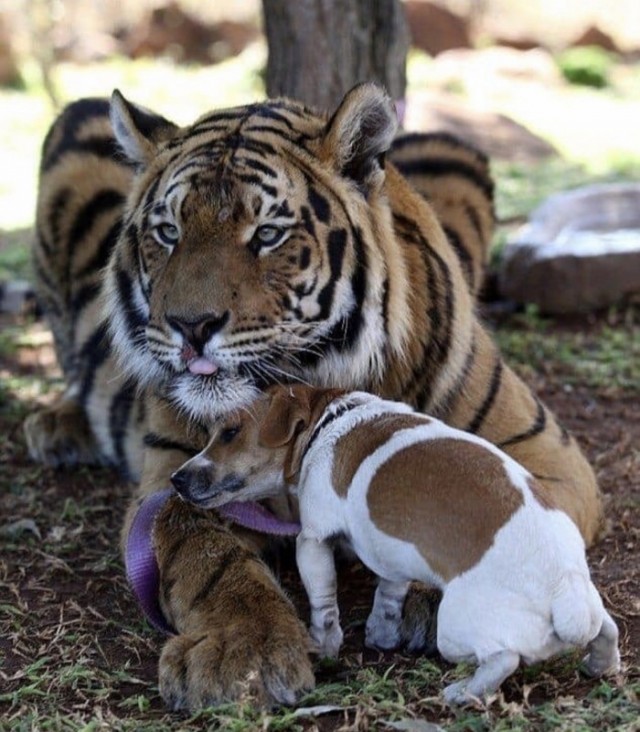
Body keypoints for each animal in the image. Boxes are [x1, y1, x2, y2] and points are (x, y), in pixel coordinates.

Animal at [170, 384, 620, 704]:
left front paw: (325, 645)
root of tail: (565, 591)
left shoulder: (312, 540)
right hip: (591, 608)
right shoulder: (395, 554)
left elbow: (323, 605)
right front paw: (381, 634)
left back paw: (464, 692)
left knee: (503, 657)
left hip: (456, 628)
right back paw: (602, 664)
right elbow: (389, 596)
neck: (327, 422)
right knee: (607, 629)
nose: (176, 478)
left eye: (230, 432)